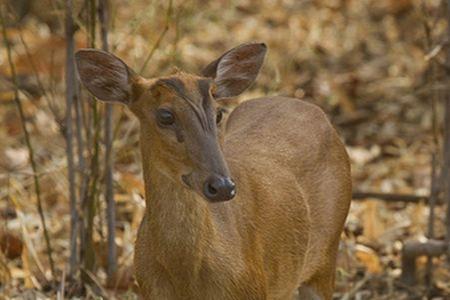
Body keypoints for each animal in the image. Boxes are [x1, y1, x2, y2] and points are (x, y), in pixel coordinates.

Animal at [75, 42, 352, 300]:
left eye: (218, 114)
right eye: (165, 115)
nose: (222, 186)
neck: (187, 280)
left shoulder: (252, 288)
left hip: (327, 253)